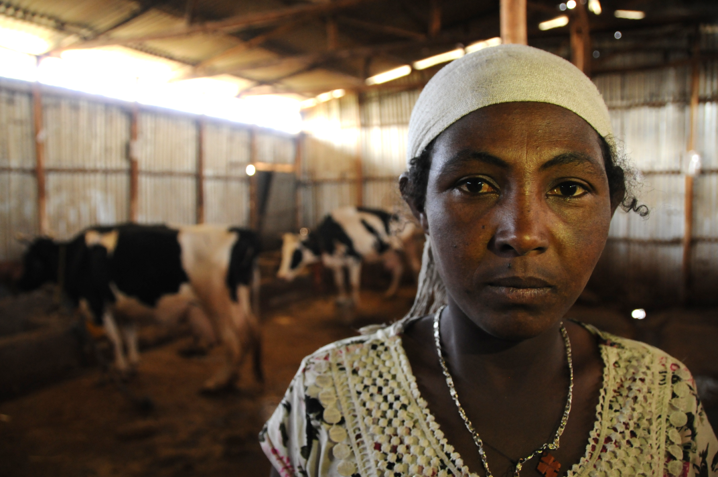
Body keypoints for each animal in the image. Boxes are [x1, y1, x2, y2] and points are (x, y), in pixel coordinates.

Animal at [17, 223, 262, 390]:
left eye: (31, 260)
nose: (16, 283)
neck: (76, 257)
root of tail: (238, 232)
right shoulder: (124, 308)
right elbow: (129, 334)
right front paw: (133, 365)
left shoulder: (97, 304)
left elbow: (114, 339)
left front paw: (120, 370)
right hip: (241, 303)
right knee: (251, 333)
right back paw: (239, 377)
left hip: (218, 305)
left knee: (234, 344)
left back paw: (218, 383)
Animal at [278, 205, 422, 304]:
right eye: (283, 253)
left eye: (296, 253)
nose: (281, 276)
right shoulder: (335, 262)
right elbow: (339, 282)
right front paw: (341, 299)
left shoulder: (355, 258)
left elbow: (353, 283)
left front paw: (355, 302)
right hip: (391, 251)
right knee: (398, 268)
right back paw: (390, 293)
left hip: (409, 244)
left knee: (414, 266)